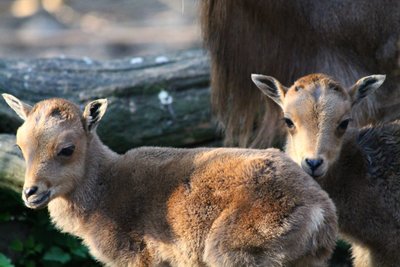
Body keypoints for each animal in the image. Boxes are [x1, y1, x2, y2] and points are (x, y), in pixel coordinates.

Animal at [3, 93, 338, 266]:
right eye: (20, 145)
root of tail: (322, 214)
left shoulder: (138, 256)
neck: (103, 192)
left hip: (235, 251)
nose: (31, 193)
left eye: (67, 148)